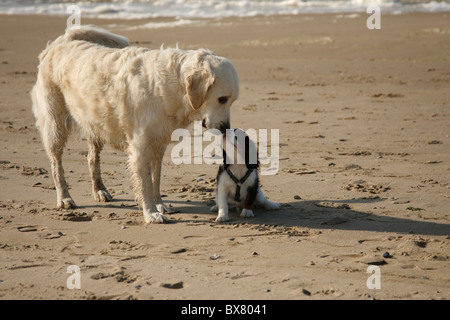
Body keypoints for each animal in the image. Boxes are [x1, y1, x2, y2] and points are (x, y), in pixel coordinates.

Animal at [31, 26, 239, 224]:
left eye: (231, 101)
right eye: (222, 99)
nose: (225, 129)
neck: (171, 86)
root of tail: (62, 41)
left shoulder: (158, 143)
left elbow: (155, 178)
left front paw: (159, 204)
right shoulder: (141, 145)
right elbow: (145, 182)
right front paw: (151, 213)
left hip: (95, 124)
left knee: (92, 158)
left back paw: (99, 190)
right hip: (55, 124)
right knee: (56, 164)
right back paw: (64, 198)